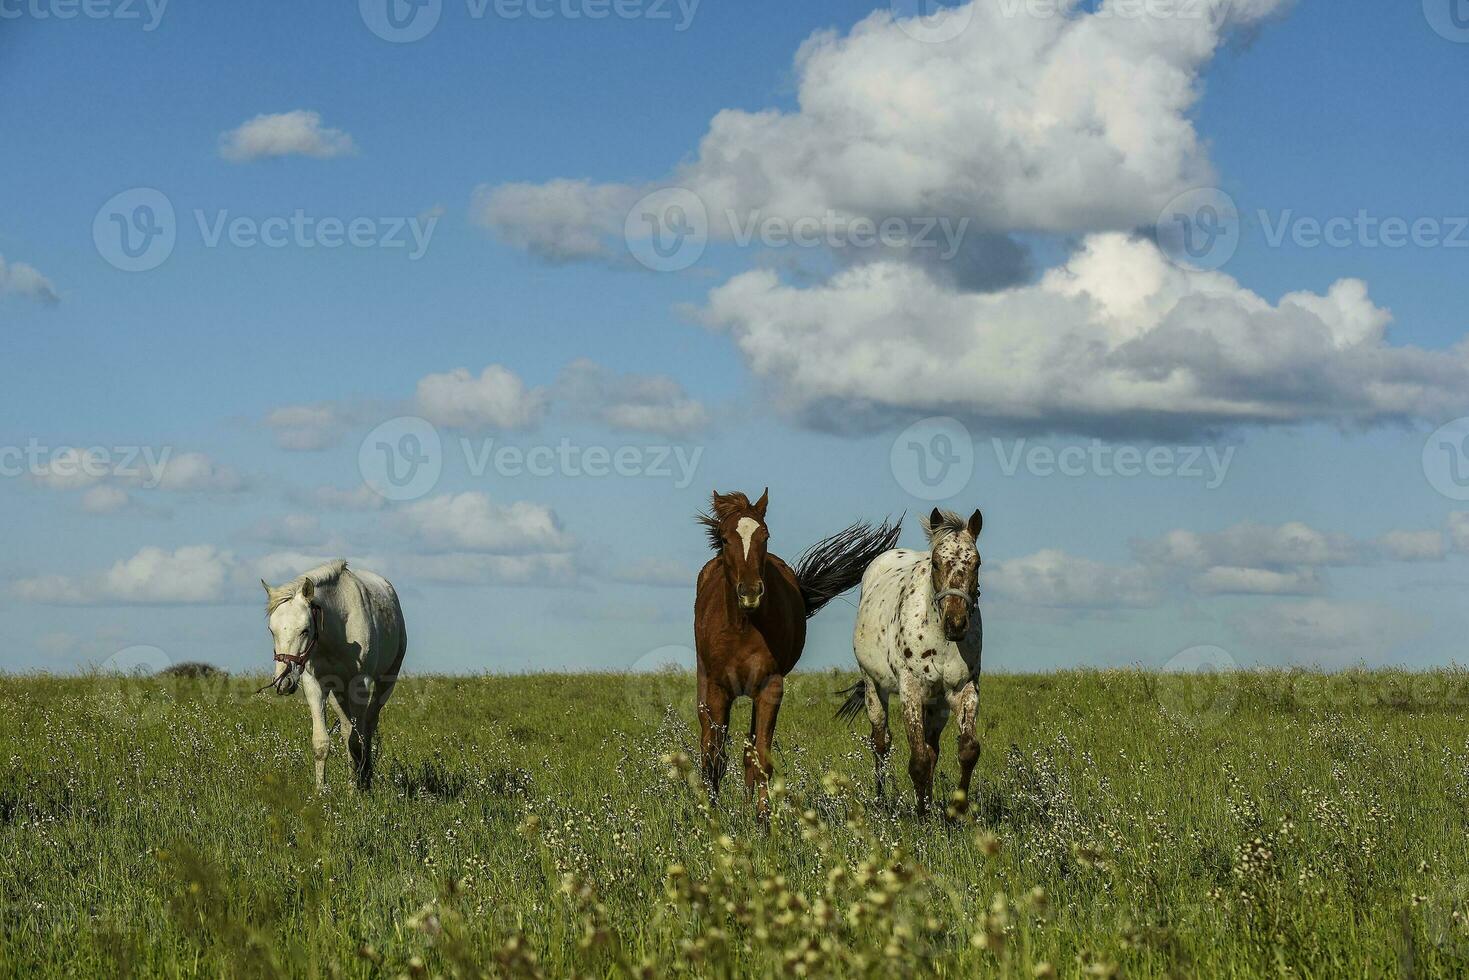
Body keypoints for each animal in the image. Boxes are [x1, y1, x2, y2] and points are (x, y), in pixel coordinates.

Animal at [261, 564, 405, 793]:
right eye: (271, 630)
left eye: (305, 630)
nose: (283, 681)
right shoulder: (314, 684)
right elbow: (322, 742)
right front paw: (321, 791)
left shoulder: (360, 684)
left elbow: (357, 740)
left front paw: (355, 792)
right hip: (338, 693)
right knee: (348, 729)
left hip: (384, 683)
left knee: (368, 726)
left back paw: (365, 777)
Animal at [693, 490, 899, 822]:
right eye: (725, 538)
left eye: (765, 535)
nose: (750, 592)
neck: (743, 626)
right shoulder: (719, 689)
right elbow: (715, 752)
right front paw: (711, 813)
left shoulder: (770, 687)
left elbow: (760, 756)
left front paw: (763, 818)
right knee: (708, 743)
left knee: (749, 747)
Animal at [846, 511, 981, 816]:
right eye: (936, 563)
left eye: (976, 563)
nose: (956, 623)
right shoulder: (911, 691)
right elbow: (917, 760)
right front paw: (921, 816)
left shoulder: (962, 690)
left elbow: (967, 750)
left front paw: (955, 810)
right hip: (874, 688)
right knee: (880, 742)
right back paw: (882, 801)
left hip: (936, 705)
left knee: (932, 750)